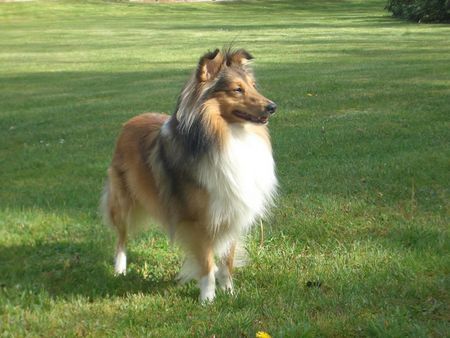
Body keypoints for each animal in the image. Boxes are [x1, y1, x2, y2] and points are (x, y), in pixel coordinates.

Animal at [102, 48, 278, 302]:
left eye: (253, 86)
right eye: (237, 89)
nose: (272, 106)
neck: (227, 135)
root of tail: (130, 121)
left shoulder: (232, 210)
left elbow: (227, 261)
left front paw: (229, 293)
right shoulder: (198, 221)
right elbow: (206, 263)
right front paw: (207, 299)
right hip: (123, 202)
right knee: (121, 238)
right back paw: (120, 269)